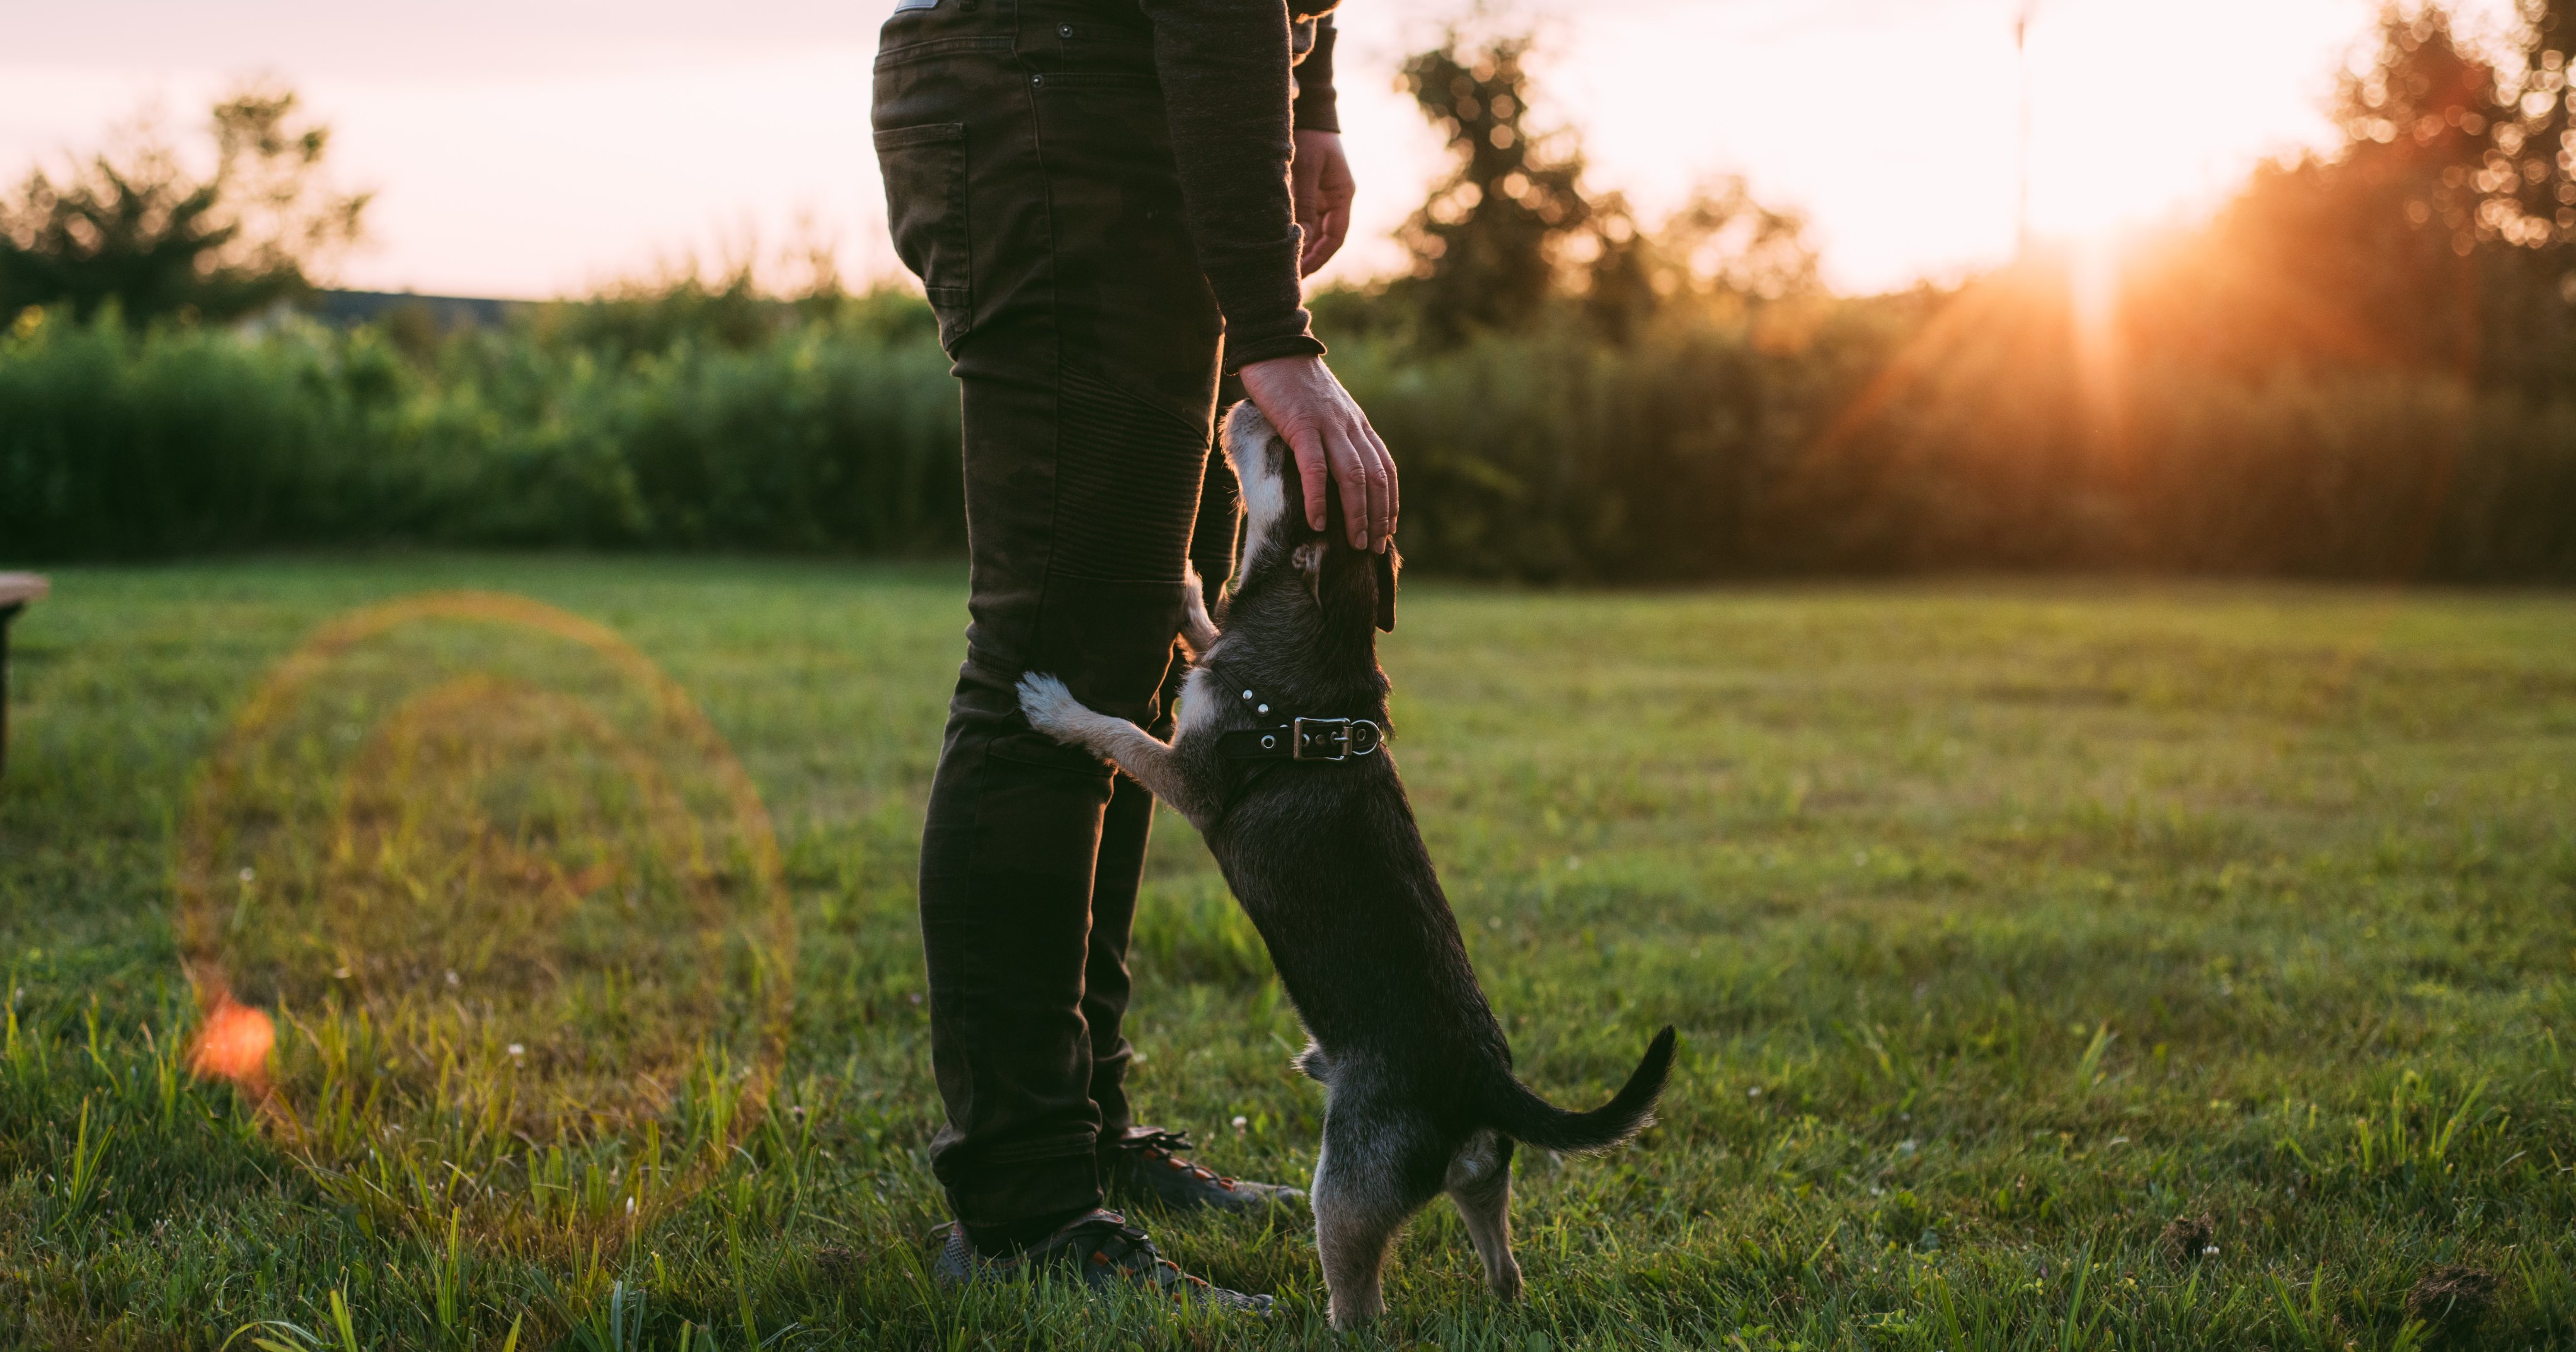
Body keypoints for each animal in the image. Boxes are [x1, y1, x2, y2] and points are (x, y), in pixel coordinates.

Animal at [1015, 401, 1679, 1329]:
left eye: (1285, 453)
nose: (1242, 402)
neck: (1320, 630)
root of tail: (1481, 1081)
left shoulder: (1188, 775)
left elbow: (1116, 731)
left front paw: (1056, 705)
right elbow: (1203, 623)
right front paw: (1185, 576)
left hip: (1346, 1190)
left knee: (1361, 1301)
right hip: (1482, 1178)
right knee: (1504, 1259)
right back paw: (1502, 1299)